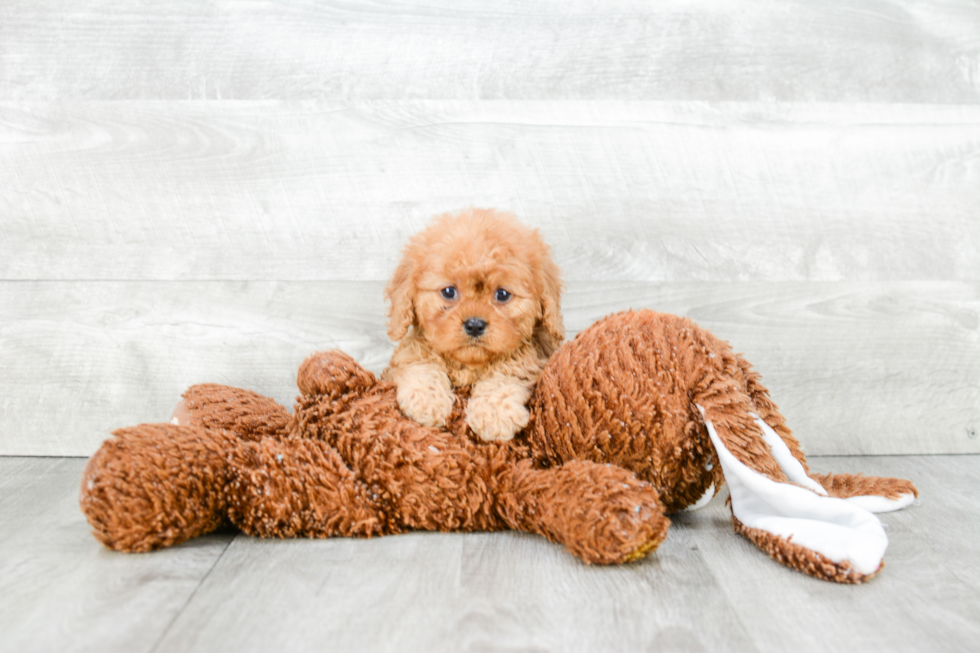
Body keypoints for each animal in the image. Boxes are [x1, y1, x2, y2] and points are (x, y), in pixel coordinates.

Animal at [384, 209, 568, 444]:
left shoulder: (530, 357)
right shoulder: (412, 349)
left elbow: (505, 377)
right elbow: (421, 364)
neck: (469, 366)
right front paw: (426, 401)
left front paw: (495, 415)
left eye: (502, 294)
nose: (474, 325)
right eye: (448, 291)